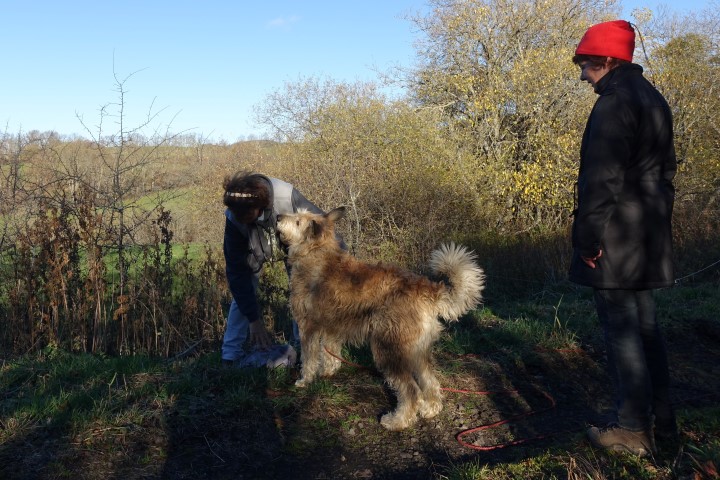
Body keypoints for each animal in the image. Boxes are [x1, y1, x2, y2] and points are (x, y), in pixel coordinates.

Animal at [276, 207, 485, 430]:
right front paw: (329, 371)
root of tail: (426, 289)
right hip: (417, 350)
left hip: (388, 349)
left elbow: (308, 358)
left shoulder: (307, 326)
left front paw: (304, 381)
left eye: (298, 221)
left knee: (411, 391)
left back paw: (397, 421)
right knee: (430, 381)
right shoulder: (333, 326)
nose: (278, 217)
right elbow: (330, 351)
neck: (316, 251)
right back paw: (430, 410)